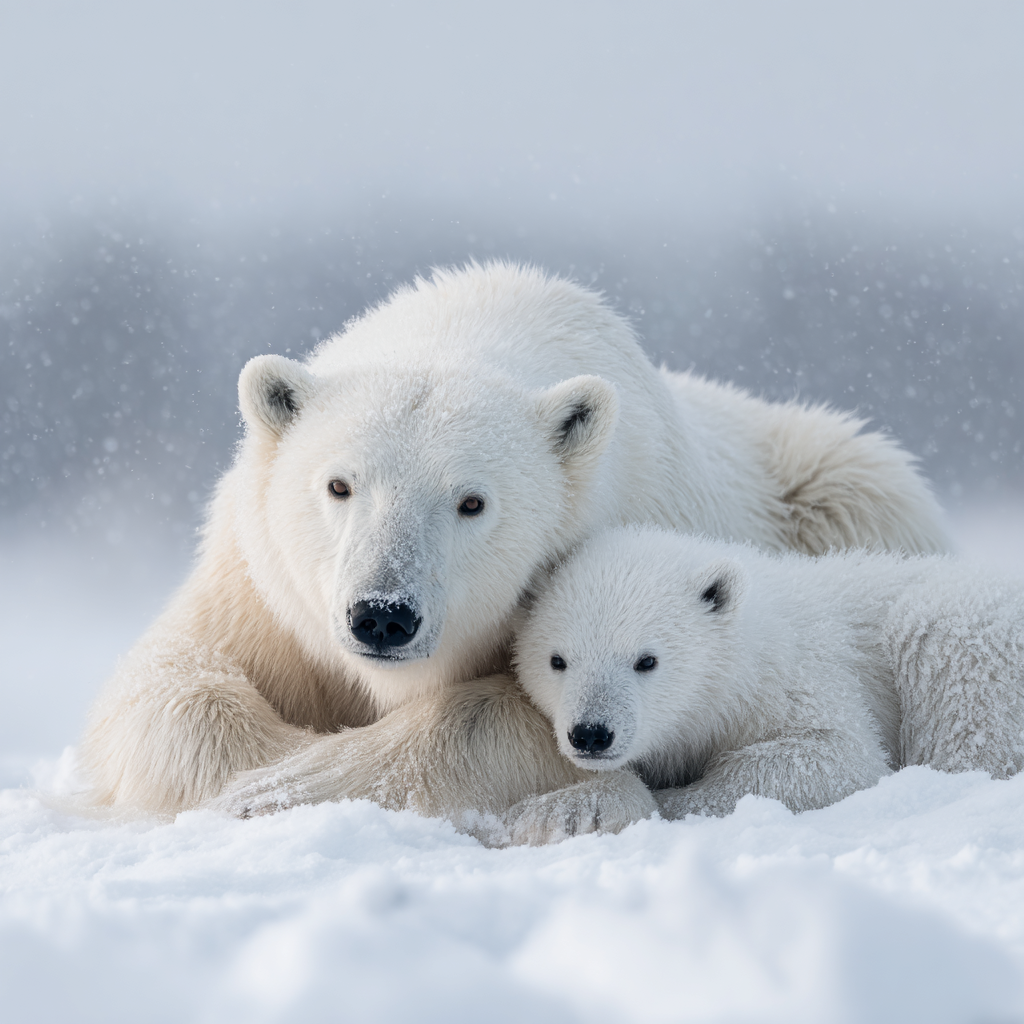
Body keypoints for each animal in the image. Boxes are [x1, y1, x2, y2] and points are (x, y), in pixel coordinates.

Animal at [79, 261, 949, 819]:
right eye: (339, 485)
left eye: (471, 502)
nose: (382, 615)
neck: (470, 322)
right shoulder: (259, 586)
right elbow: (174, 686)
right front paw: (260, 769)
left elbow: (518, 716)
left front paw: (289, 781)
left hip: (843, 486)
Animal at [509, 526, 1024, 842]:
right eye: (557, 660)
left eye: (646, 660)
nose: (591, 734)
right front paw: (561, 810)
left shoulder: (797, 679)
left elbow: (838, 756)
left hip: (962, 631)